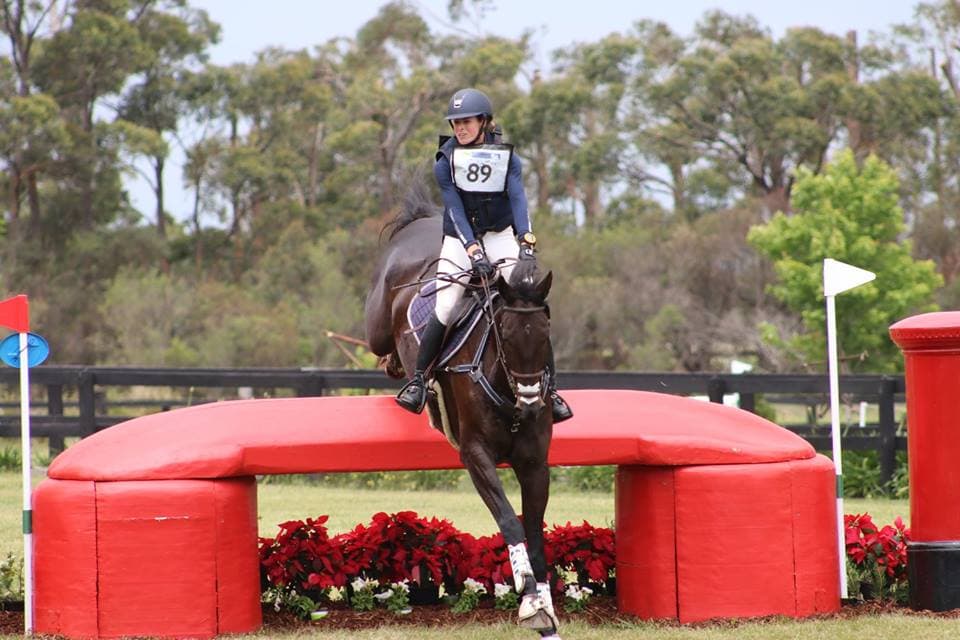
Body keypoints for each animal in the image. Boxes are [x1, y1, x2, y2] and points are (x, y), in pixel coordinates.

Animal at [364, 188, 560, 637]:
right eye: (503, 333)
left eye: (545, 335)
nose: (530, 401)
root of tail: (420, 223)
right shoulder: (475, 455)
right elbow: (509, 520)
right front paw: (529, 599)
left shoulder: (535, 463)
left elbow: (534, 528)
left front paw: (545, 607)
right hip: (378, 323)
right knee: (382, 344)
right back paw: (404, 376)